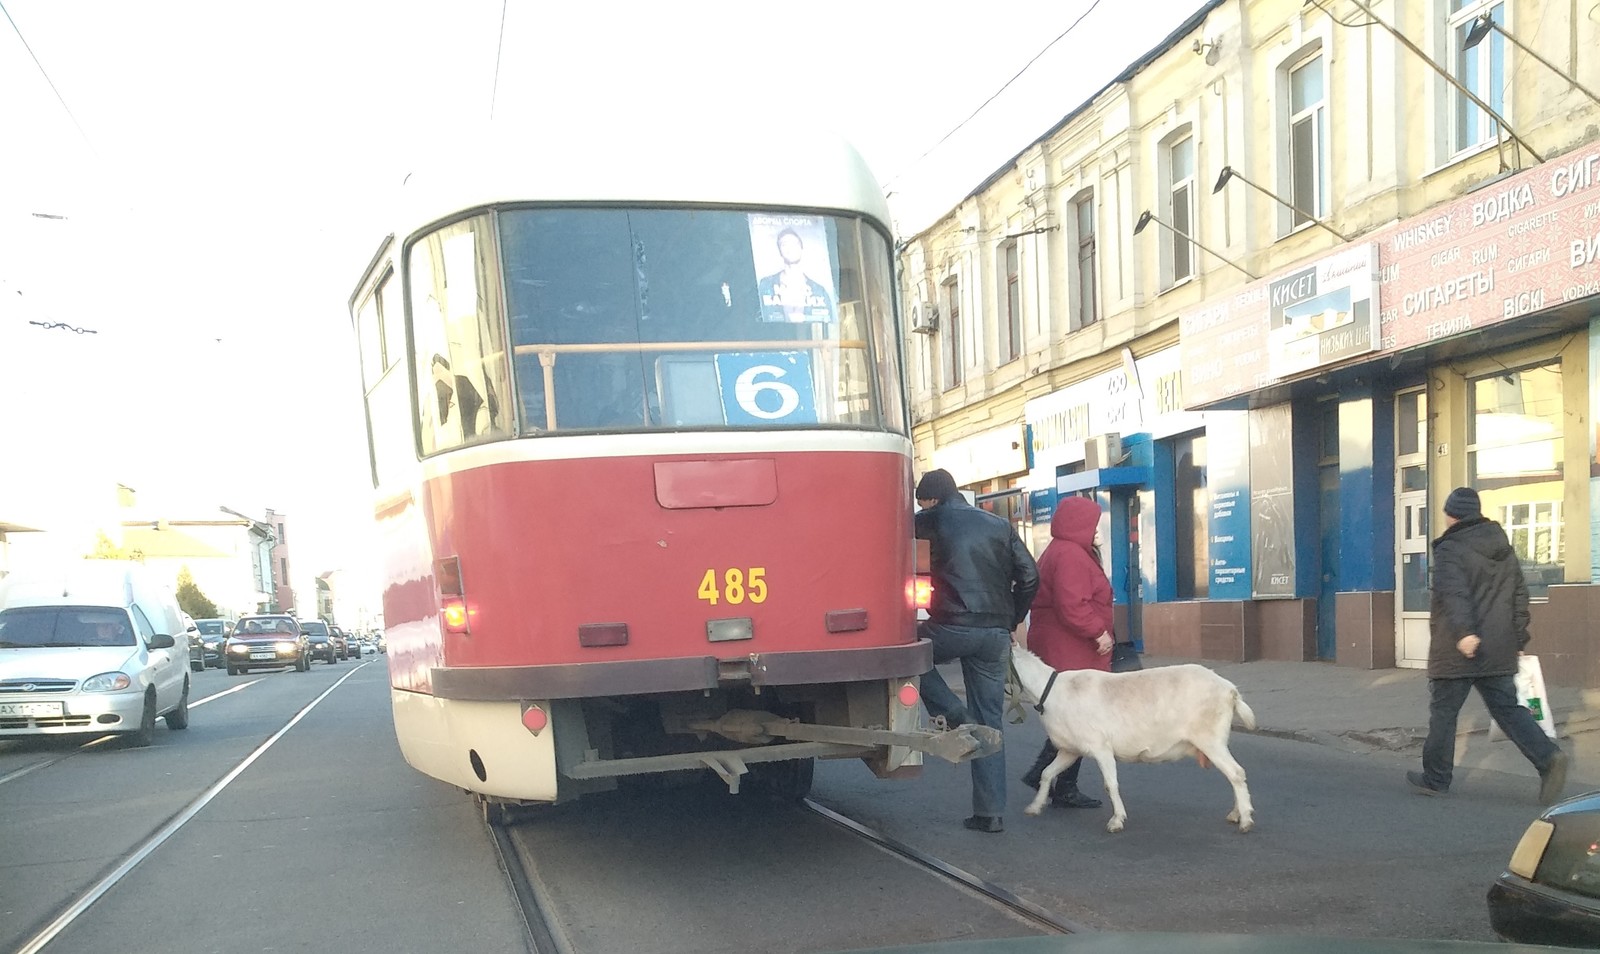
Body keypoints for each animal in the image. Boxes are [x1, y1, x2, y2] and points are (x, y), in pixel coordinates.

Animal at [1011, 640, 1260, 832]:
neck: (1051, 691)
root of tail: (1230, 690)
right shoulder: (1070, 750)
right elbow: (1046, 773)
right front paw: (1034, 807)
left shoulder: (1101, 746)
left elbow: (1110, 784)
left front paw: (1116, 820)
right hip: (1215, 741)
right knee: (1234, 773)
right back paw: (1237, 814)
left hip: (1210, 738)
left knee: (1236, 773)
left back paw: (1246, 820)